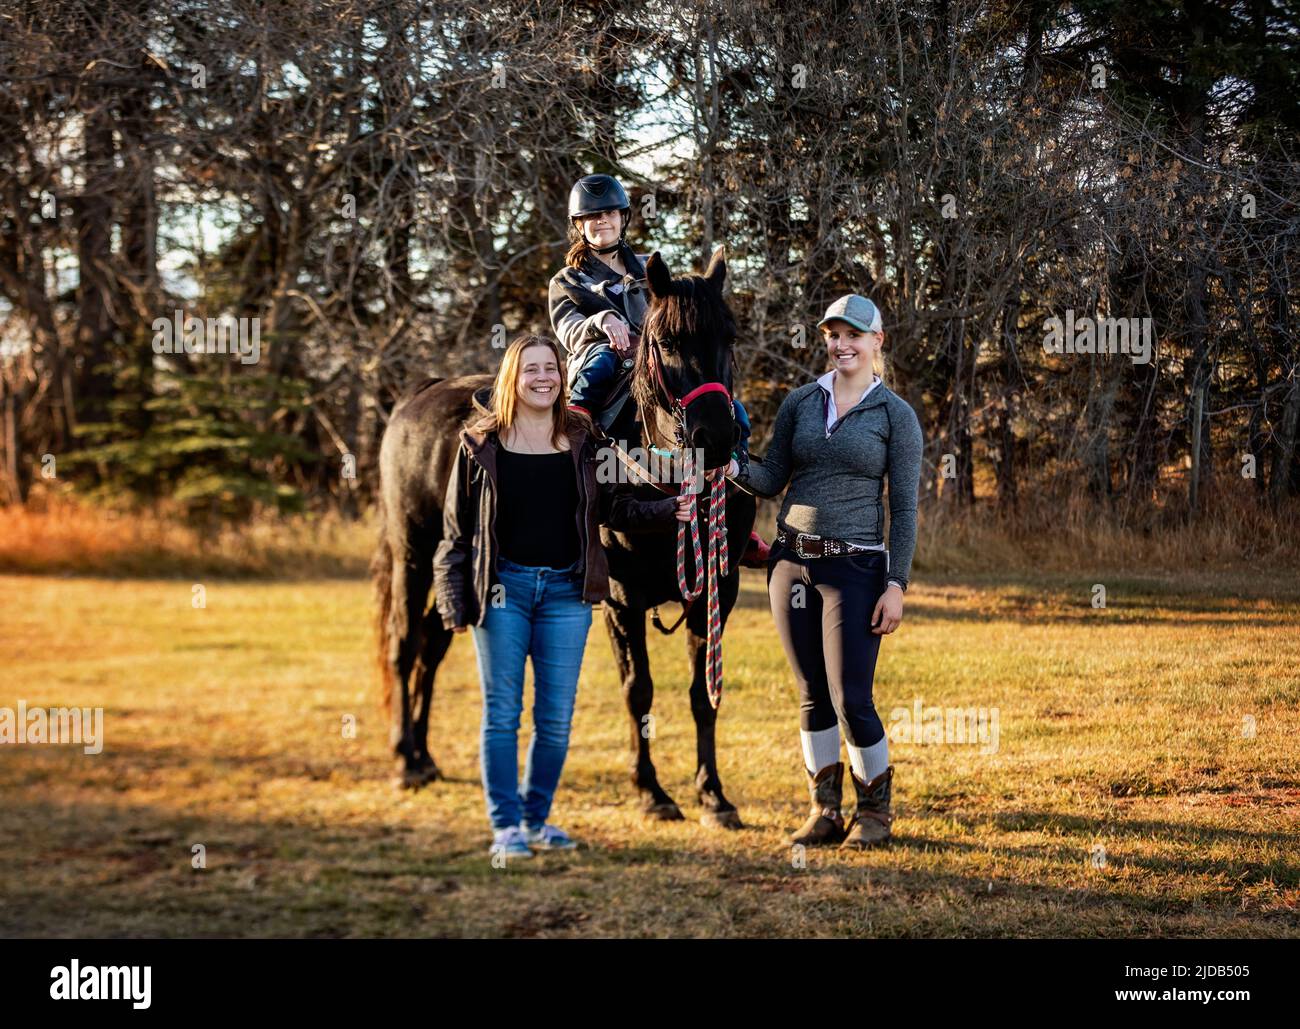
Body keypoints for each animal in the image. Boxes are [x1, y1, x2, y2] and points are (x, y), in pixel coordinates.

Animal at [371, 249, 759, 826]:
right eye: (666, 342)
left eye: (729, 337)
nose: (716, 437)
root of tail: (420, 395)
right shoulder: (621, 602)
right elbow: (638, 691)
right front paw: (652, 791)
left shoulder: (717, 595)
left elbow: (701, 694)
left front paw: (712, 794)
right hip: (413, 556)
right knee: (405, 643)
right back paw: (404, 759)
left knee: (431, 649)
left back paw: (423, 755)